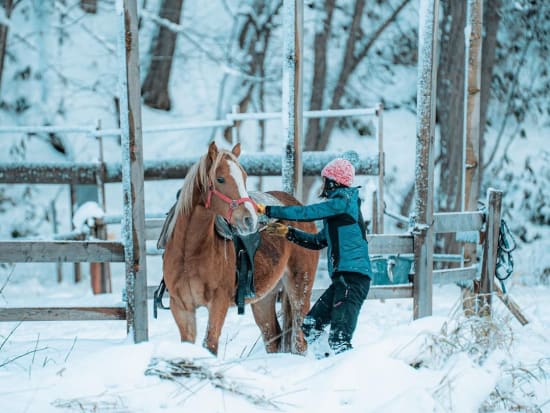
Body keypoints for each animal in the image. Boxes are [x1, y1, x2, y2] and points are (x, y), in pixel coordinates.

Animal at [162, 142, 322, 354]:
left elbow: (210, 344)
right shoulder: (181, 307)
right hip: (264, 297)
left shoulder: (218, 303)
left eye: (244, 178)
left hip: (300, 286)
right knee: (272, 337)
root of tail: (298, 205)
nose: (250, 219)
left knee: (299, 339)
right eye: (220, 179)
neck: (189, 252)